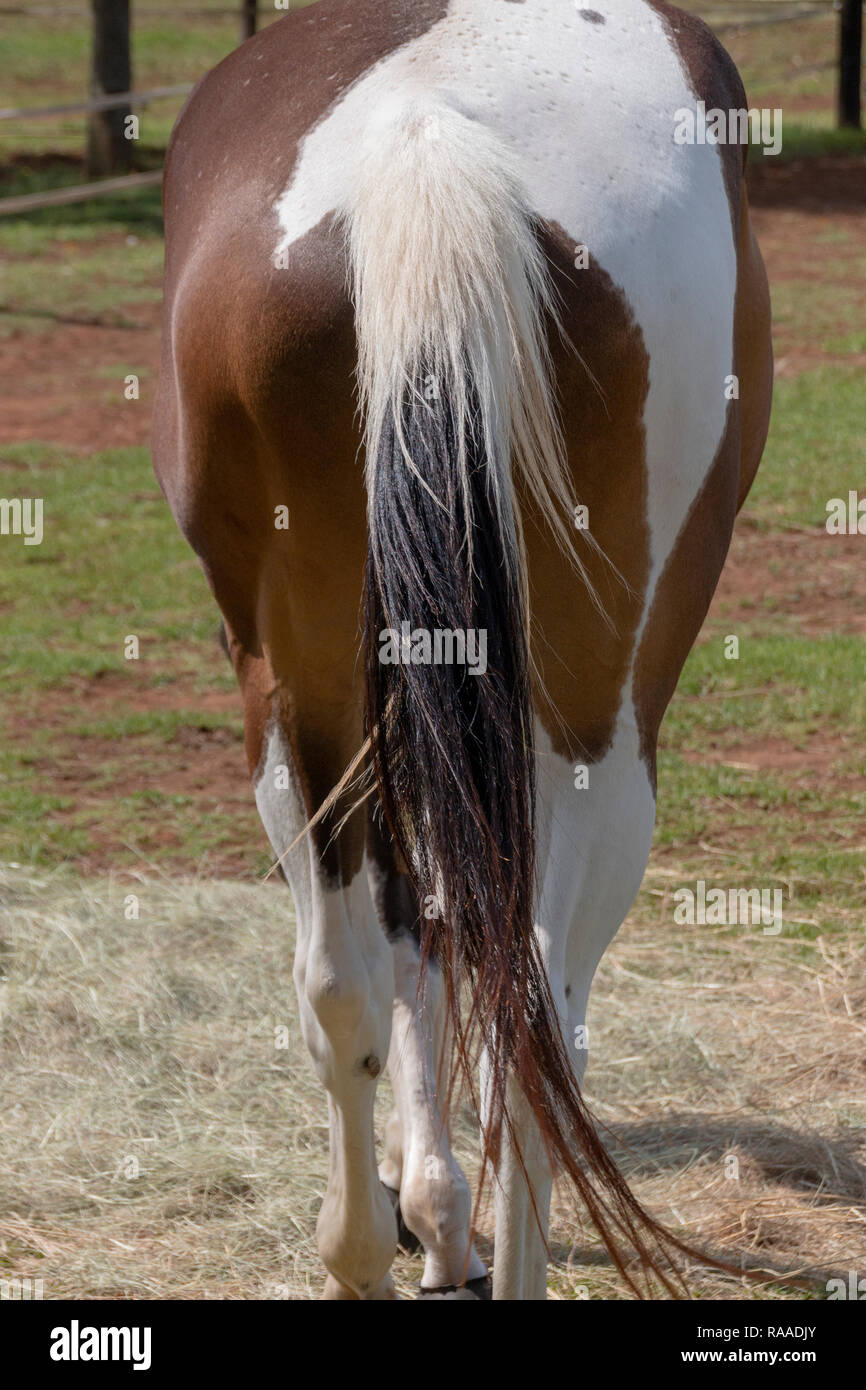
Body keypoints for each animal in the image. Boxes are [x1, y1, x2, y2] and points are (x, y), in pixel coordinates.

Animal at [152, 0, 778, 1301]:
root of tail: (426, 141)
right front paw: (442, 1210)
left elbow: (400, 941)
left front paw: (425, 1208)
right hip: (599, 712)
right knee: (531, 1007)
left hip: (300, 685)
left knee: (357, 981)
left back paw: (362, 1246)